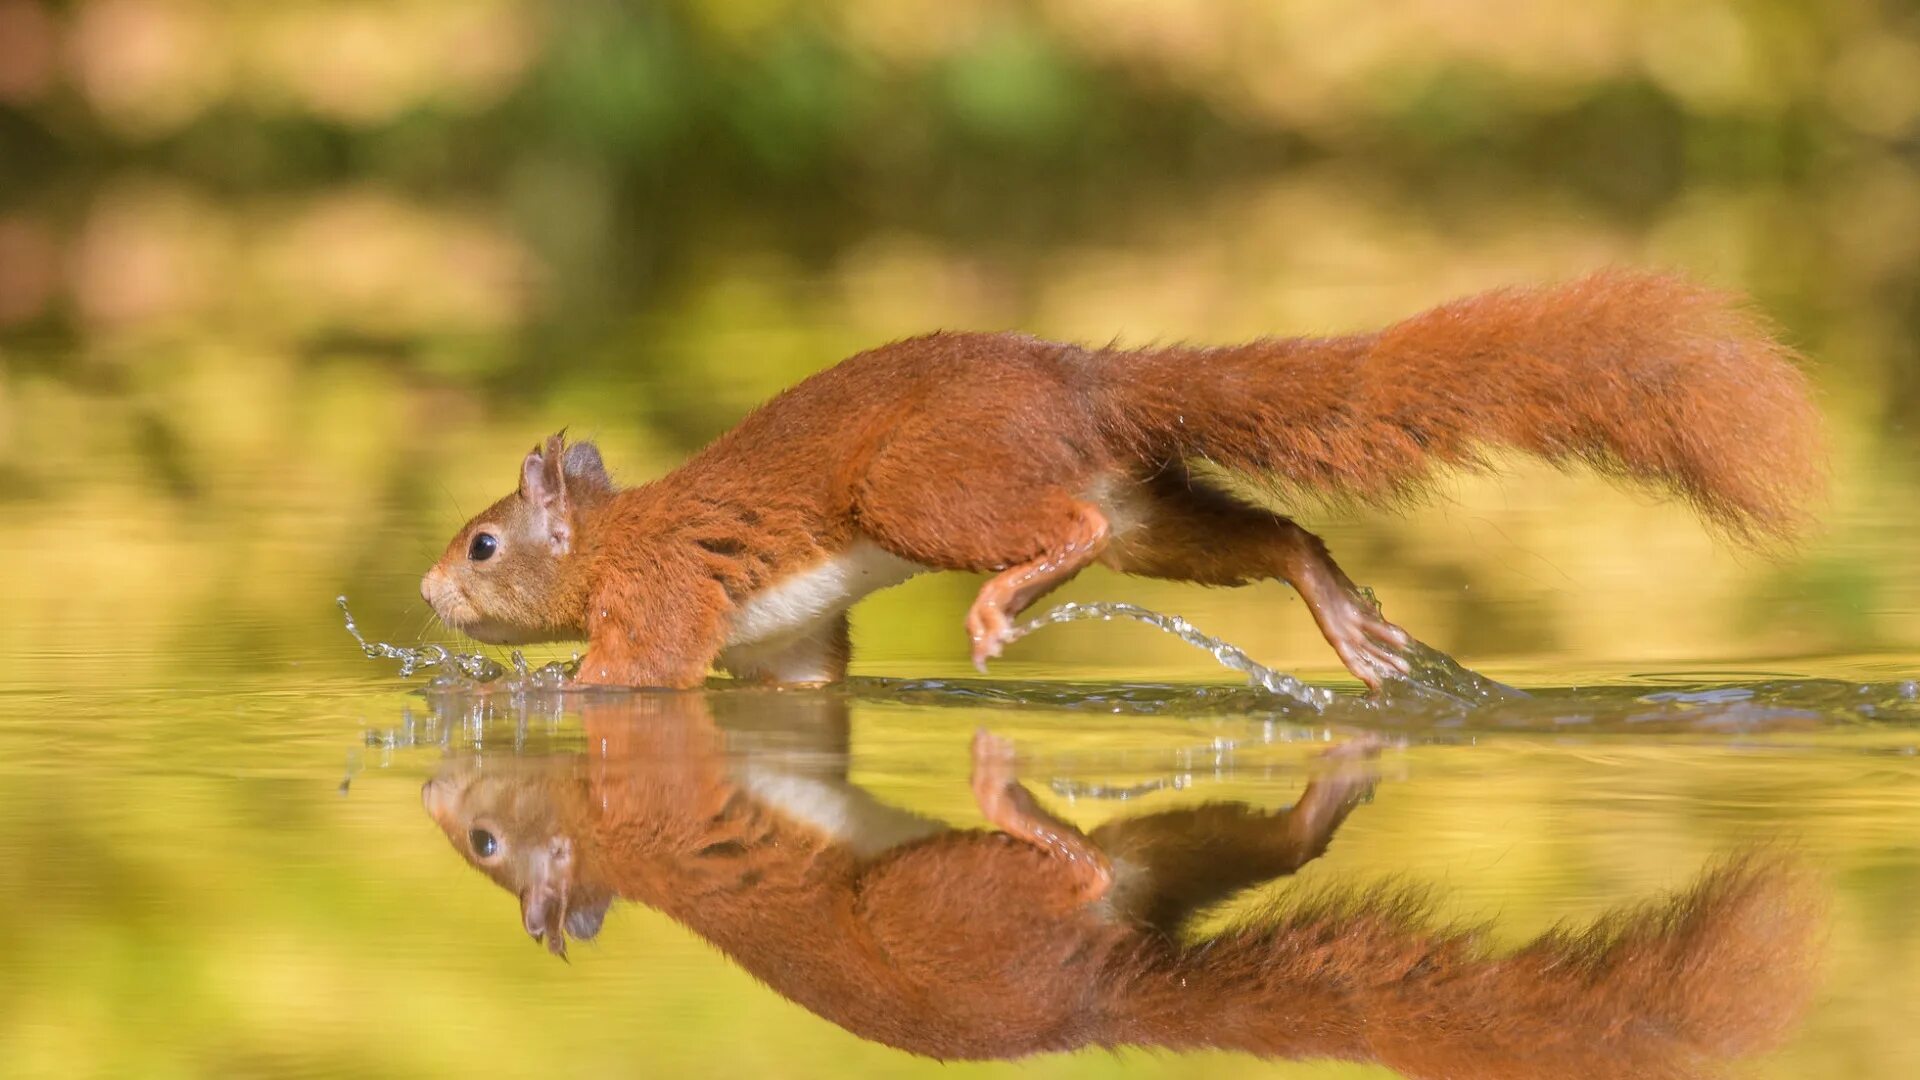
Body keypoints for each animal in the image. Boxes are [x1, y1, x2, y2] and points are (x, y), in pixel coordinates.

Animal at [424, 272, 1827, 684]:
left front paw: (549, 697)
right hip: (1154, 509)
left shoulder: (661, 591)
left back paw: (1007, 603)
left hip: (929, 489)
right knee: (1264, 536)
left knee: (1066, 529)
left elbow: (638, 675)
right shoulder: (782, 641)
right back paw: (1350, 624)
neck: (613, 534)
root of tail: (1075, 383)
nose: (426, 595)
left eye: (483, 544)